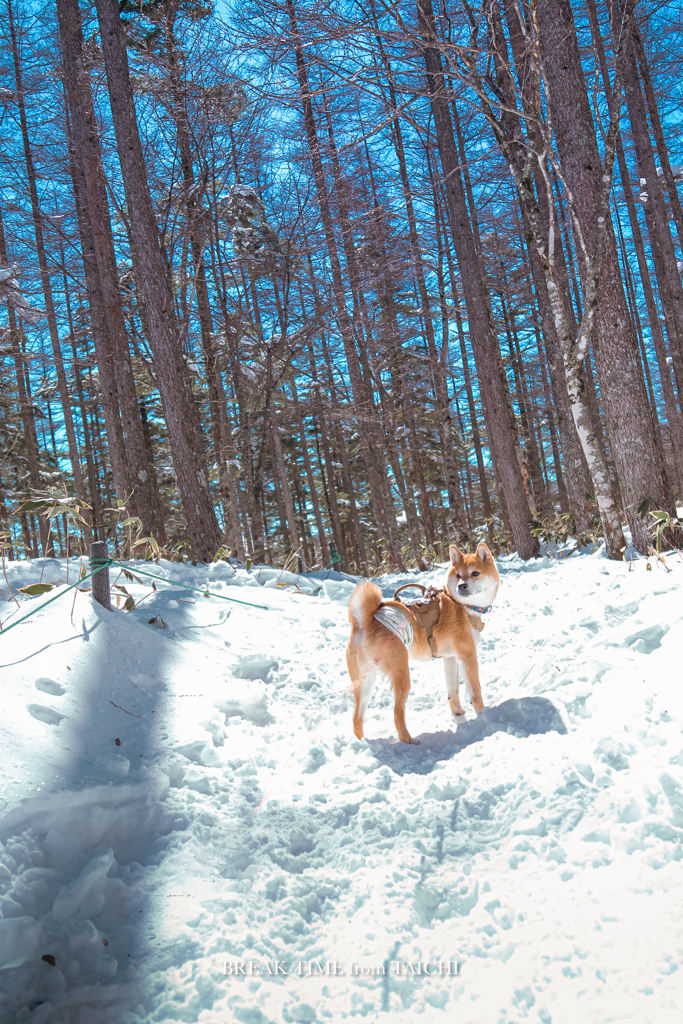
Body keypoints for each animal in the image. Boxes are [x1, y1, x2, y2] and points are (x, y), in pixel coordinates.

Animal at [348, 544, 501, 745]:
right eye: (458, 575)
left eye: (475, 573)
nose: (461, 585)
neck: (460, 604)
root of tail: (364, 622)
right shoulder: (467, 657)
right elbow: (475, 693)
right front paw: (485, 716)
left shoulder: (450, 659)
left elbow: (453, 694)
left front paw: (459, 716)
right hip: (401, 674)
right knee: (397, 713)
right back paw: (408, 741)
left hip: (365, 682)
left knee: (357, 718)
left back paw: (362, 743)